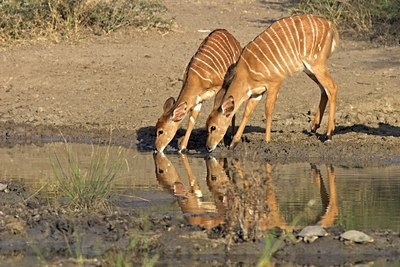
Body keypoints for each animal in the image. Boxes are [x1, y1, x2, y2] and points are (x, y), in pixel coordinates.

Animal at [206, 15, 340, 153]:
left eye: (213, 127)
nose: (208, 147)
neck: (246, 71)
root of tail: (331, 25)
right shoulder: (256, 93)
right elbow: (247, 112)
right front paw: (234, 142)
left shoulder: (274, 83)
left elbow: (268, 110)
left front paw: (266, 140)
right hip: (309, 70)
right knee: (324, 90)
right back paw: (314, 127)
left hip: (317, 64)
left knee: (332, 87)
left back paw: (328, 135)